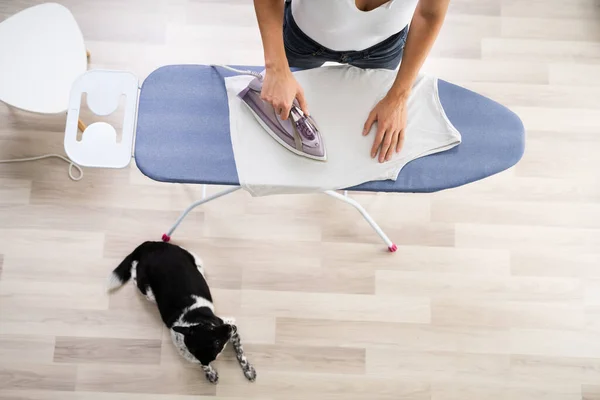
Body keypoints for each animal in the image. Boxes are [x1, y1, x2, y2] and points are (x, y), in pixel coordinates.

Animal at [107, 241, 255, 384]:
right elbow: (203, 364)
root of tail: (152, 245)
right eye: (217, 343)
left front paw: (248, 370)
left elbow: (240, 353)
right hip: (147, 291)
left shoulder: (228, 327)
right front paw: (209, 372)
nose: (232, 326)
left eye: (211, 327)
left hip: (195, 260)